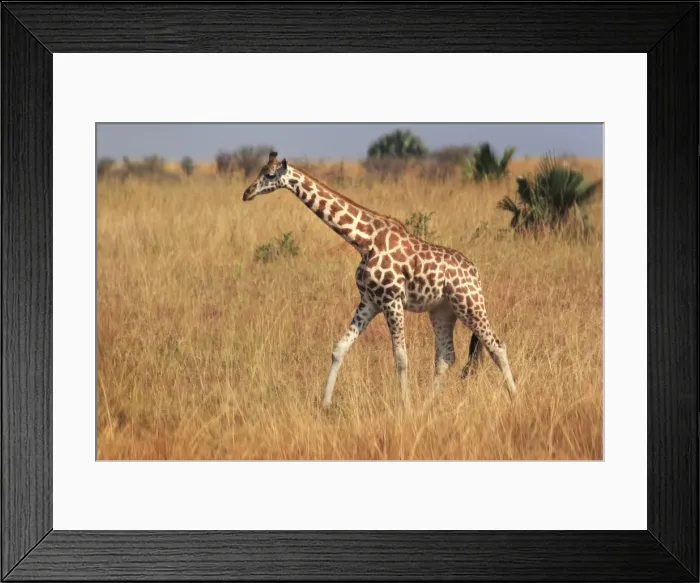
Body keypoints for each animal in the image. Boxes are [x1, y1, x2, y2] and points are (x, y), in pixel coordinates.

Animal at [242, 152, 517, 409]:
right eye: (260, 171)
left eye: (269, 175)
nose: (247, 193)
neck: (364, 241)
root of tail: (475, 273)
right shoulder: (369, 301)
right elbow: (339, 348)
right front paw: (325, 403)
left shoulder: (392, 300)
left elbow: (401, 358)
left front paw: (405, 405)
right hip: (442, 311)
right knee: (446, 357)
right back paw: (427, 405)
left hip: (470, 305)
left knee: (497, 346)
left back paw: (515, 396)